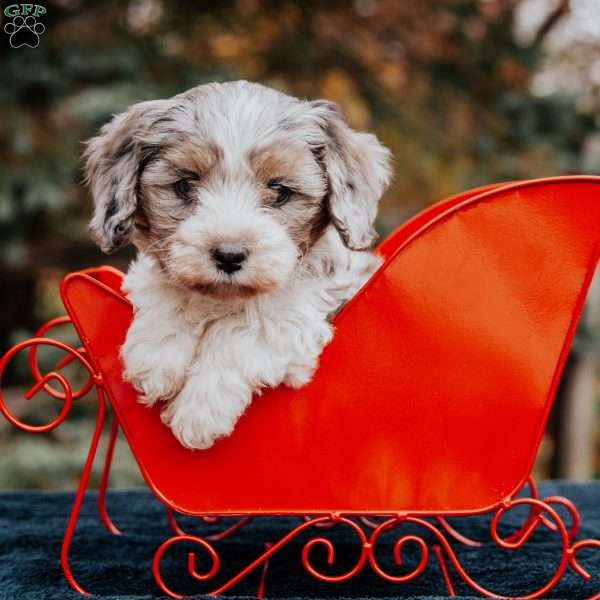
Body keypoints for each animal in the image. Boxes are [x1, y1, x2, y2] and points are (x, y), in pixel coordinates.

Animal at [84, 79, 394, 448]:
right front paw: (157, 353)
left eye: (280, 190)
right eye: (185, 184)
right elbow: (163, 286)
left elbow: (252, 324)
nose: (229, 255)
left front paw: (199, 410)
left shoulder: (311, 305)